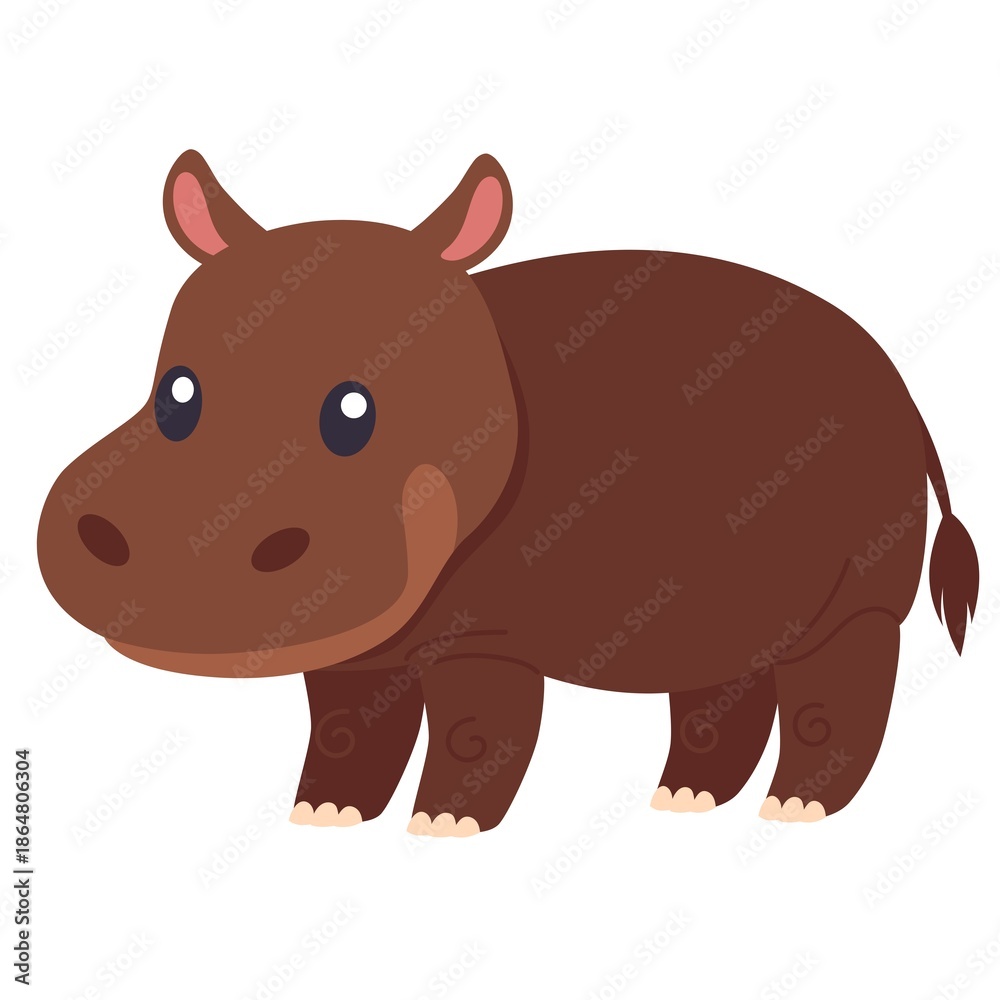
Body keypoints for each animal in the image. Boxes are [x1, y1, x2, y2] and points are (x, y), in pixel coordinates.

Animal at [37, 150, 979, 836]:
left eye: (354, 409)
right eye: (175, 392)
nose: (173, 551)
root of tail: (902, 387)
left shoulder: (485, 640)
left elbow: (477, 734)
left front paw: (439, 830)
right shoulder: (358, 652)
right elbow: (349, 734)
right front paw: (323, 819)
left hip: (856, 603)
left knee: (839, 697)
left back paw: (796, 812)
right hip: (722, 610)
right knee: (720, 698)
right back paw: (683, 803)